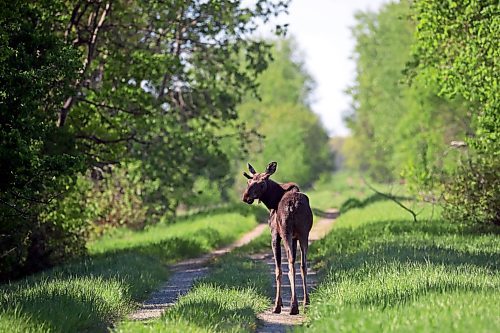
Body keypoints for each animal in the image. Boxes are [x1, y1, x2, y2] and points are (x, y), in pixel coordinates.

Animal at [242, 161, 312, 314]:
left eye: (262, 183)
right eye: (249, 181)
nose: (246, 197)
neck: (271, 203)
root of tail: (293, 204)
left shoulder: (275, 235)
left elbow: (278, 270)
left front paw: (277, 305)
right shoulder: (295, 237)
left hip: (286, 232)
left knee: (291, 264)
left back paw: (293, 306)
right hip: (304, 233)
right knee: (303, 265)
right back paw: (306, 303)